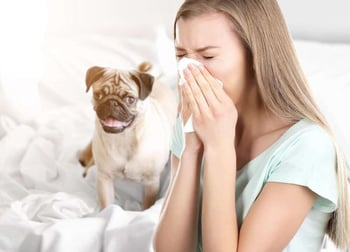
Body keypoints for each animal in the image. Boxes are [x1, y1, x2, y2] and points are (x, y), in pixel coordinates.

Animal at [79, 62, 178, 210]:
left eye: (130, 99)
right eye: (98, 95)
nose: (112, 102)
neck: (123, 139)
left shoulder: (151, 182)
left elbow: (147, 205)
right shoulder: (104, 178)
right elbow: (106, 205)